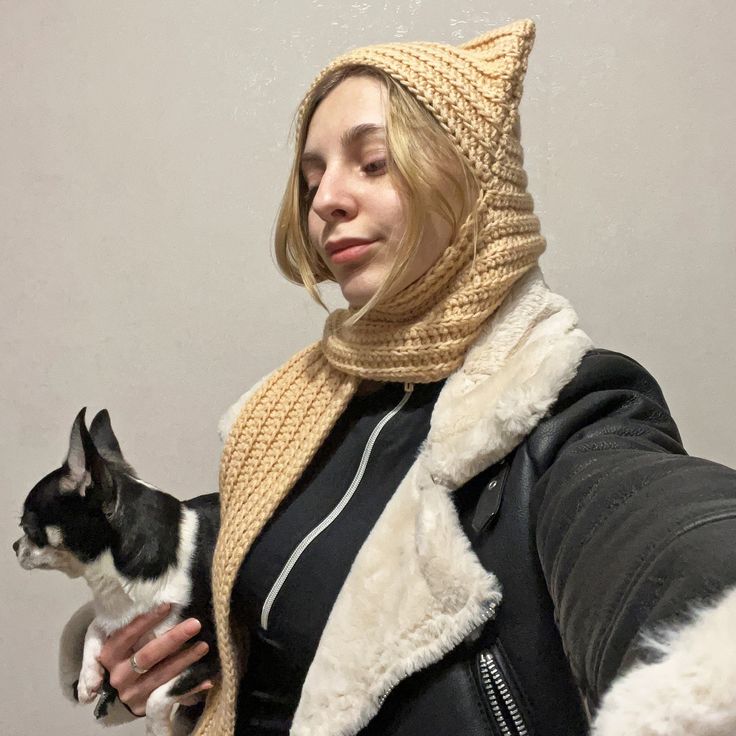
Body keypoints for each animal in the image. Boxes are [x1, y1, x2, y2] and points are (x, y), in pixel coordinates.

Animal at [12, 408, 220, 736]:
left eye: (28, 527)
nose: (13, 546)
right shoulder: (119, 617)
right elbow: (94, 625)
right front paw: (88, 678)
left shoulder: (210, 654)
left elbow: (156, 696)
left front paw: (157, 729)